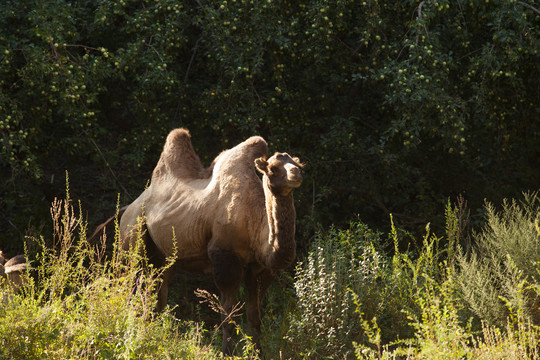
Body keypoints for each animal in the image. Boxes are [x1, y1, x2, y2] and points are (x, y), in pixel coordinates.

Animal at [93, 128, 304, 352]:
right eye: (273, 168)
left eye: (298, 164)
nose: (296, 174)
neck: (252, 217)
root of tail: (126, 209)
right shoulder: (224, 257)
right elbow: (228, 316)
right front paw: (227, 353)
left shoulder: (260, 266)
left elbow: (255, 317)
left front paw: (258, 352)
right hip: (132, 241)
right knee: (129, 287)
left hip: (163, 260)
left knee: (157, 299)